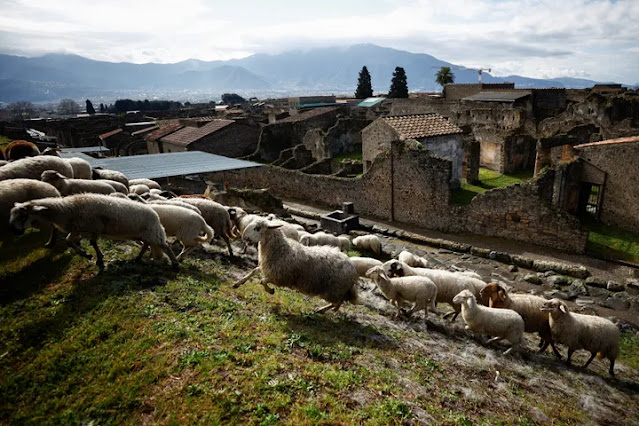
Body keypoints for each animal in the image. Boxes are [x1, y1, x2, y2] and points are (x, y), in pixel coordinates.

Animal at [10, 194, 179, 270]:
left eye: (23, 215)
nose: (15, 232)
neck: (66, 210)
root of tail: (155, 214)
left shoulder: (95, 227)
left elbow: (92, 242)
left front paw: (98, 259)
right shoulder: (78, 228)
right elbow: (69, 241)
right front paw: (87, 255)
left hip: (154, 233)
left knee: (165, 246)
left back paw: (175, 263)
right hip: (142, 234)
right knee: (145, 245)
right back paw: (137, 259)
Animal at [232, 216, 360, 312]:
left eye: (257, 228)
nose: (244, 237)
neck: (281, 249)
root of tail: (352, 267)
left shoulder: (280, 277)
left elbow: (262, 281)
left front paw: (271, 290)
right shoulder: (268, 268)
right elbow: (253, 271)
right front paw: (238, 283)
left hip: (334, 289)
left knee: (338, 302)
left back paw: (324, 310)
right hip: (337, 289)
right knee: (340, 301)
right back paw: (326, 310)